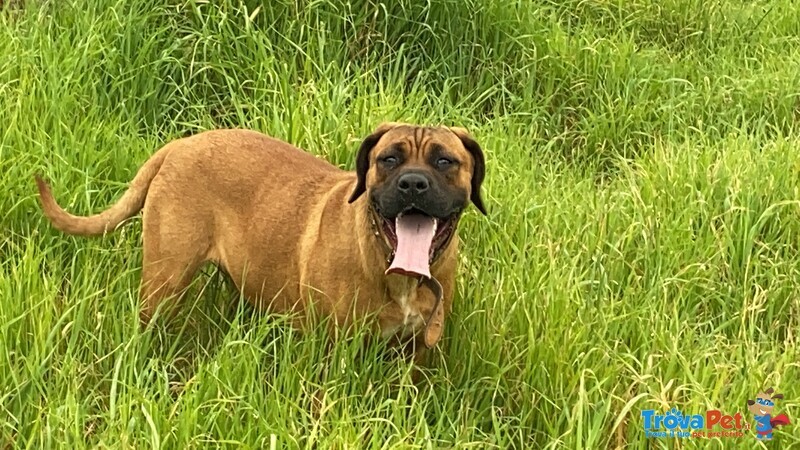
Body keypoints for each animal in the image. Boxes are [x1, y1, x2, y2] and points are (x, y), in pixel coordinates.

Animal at [36, 122, 488, 362]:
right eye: (389, 159)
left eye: (445, 161)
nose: (413, 183)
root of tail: (179, 145)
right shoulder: (332, 352)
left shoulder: (417, 353)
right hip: (164, 281)